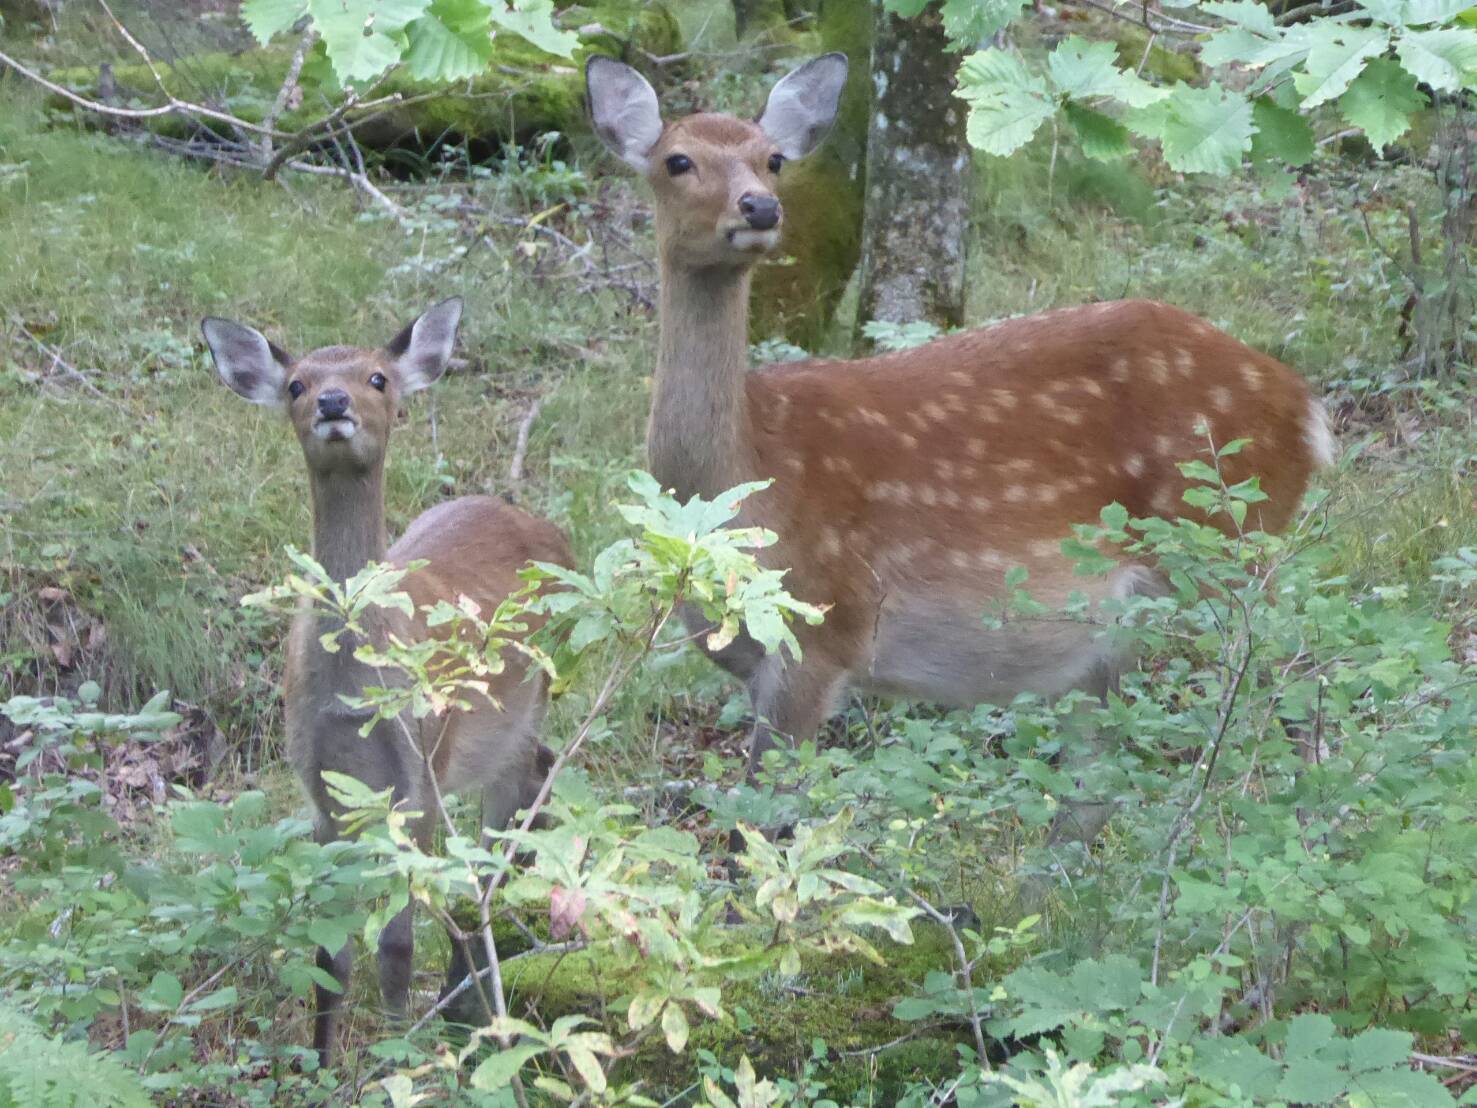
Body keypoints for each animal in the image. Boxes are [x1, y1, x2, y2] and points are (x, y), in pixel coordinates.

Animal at [205, 301, 573, 1069]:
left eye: (377, 376)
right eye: (296, 383)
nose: (332, 402)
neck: (353, 694)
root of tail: (547, 527)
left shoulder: (419, 775)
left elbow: (398, 945)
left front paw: (399, 1053)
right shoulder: (321, 788)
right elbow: (329, 955)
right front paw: (320, 1063)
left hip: (518, 711)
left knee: (508, 819)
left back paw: (468, 1000)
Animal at [587, 56, 1341, 821]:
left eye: (772, 160)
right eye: (678, 160)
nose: (760, 208)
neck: (740, 480)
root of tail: (1302, 405)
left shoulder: (824, 628)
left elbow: (765, 822)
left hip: (1227, 553)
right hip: (1118, 633)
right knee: (1097, 781)